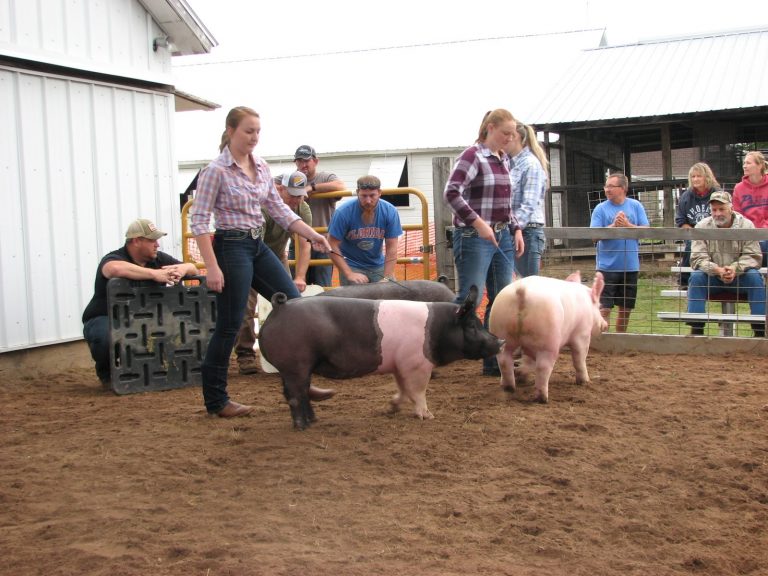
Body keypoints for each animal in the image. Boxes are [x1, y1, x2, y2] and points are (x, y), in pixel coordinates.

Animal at [258, 286, 500, 428]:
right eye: (472, 325)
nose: (500, 342)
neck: (437, 329)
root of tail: (280, 307)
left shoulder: (401, 364)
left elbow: (404, 389)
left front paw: (392, 408)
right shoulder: (417, 364)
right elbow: (418, 391)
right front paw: (428, 416)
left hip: (295, 368)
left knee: (298, 392)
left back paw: (314, 420)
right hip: (296, 365)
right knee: (295, 395)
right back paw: (303, 426)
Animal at [488, 272, 608, 402]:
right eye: (600, 306)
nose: (605, 325)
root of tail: (522, 291)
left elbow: (527, 360)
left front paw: (521, 376)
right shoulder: (582, 333)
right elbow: (580, 359)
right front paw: (585, 382)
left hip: (500, 329)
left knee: (504, 361)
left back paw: (509, 388)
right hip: (547, 341)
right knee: (543, 367)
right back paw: (542, 399)